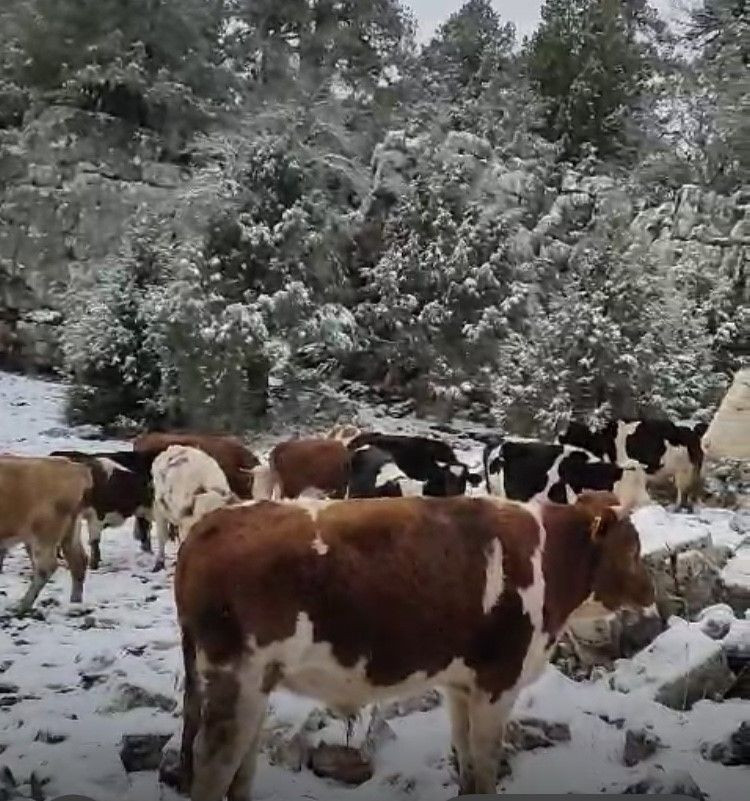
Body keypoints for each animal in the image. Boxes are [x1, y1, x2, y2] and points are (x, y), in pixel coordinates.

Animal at [0, 456, 92, 612]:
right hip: (70, 532)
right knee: (78, 561)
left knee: (47, 567)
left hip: (44, 534)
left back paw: (23, 606)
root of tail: (75, 468)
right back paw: (75, 603)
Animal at [175, 490, 652, 796]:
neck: (549, 561)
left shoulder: (462, 684)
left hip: (254, 685)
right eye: (631, 548)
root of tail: (208, 525)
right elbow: (485, 764)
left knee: (241, 770)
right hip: (235, 679)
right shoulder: (498, 682)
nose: (650, 594)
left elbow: (466, 758)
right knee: (214, 767)